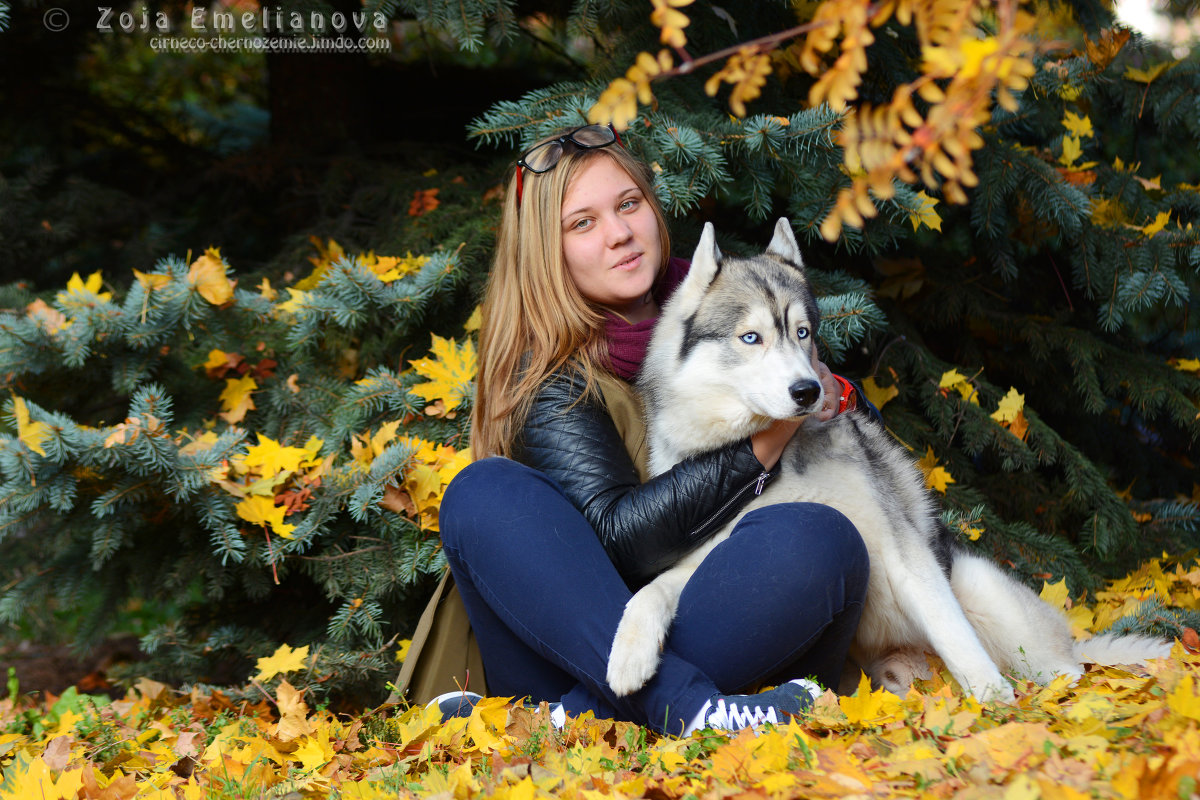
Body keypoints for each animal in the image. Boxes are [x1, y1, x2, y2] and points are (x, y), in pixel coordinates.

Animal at [604, 217, 1166, 700]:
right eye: (751, 337)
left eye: (802, 332)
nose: (809, 391)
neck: (776, 462)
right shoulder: (707, 555)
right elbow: (650, 590)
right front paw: (629, 653)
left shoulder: (904, 554)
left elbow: (955, 635)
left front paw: (992, 703)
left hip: (983, 592)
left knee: (1059, 669)